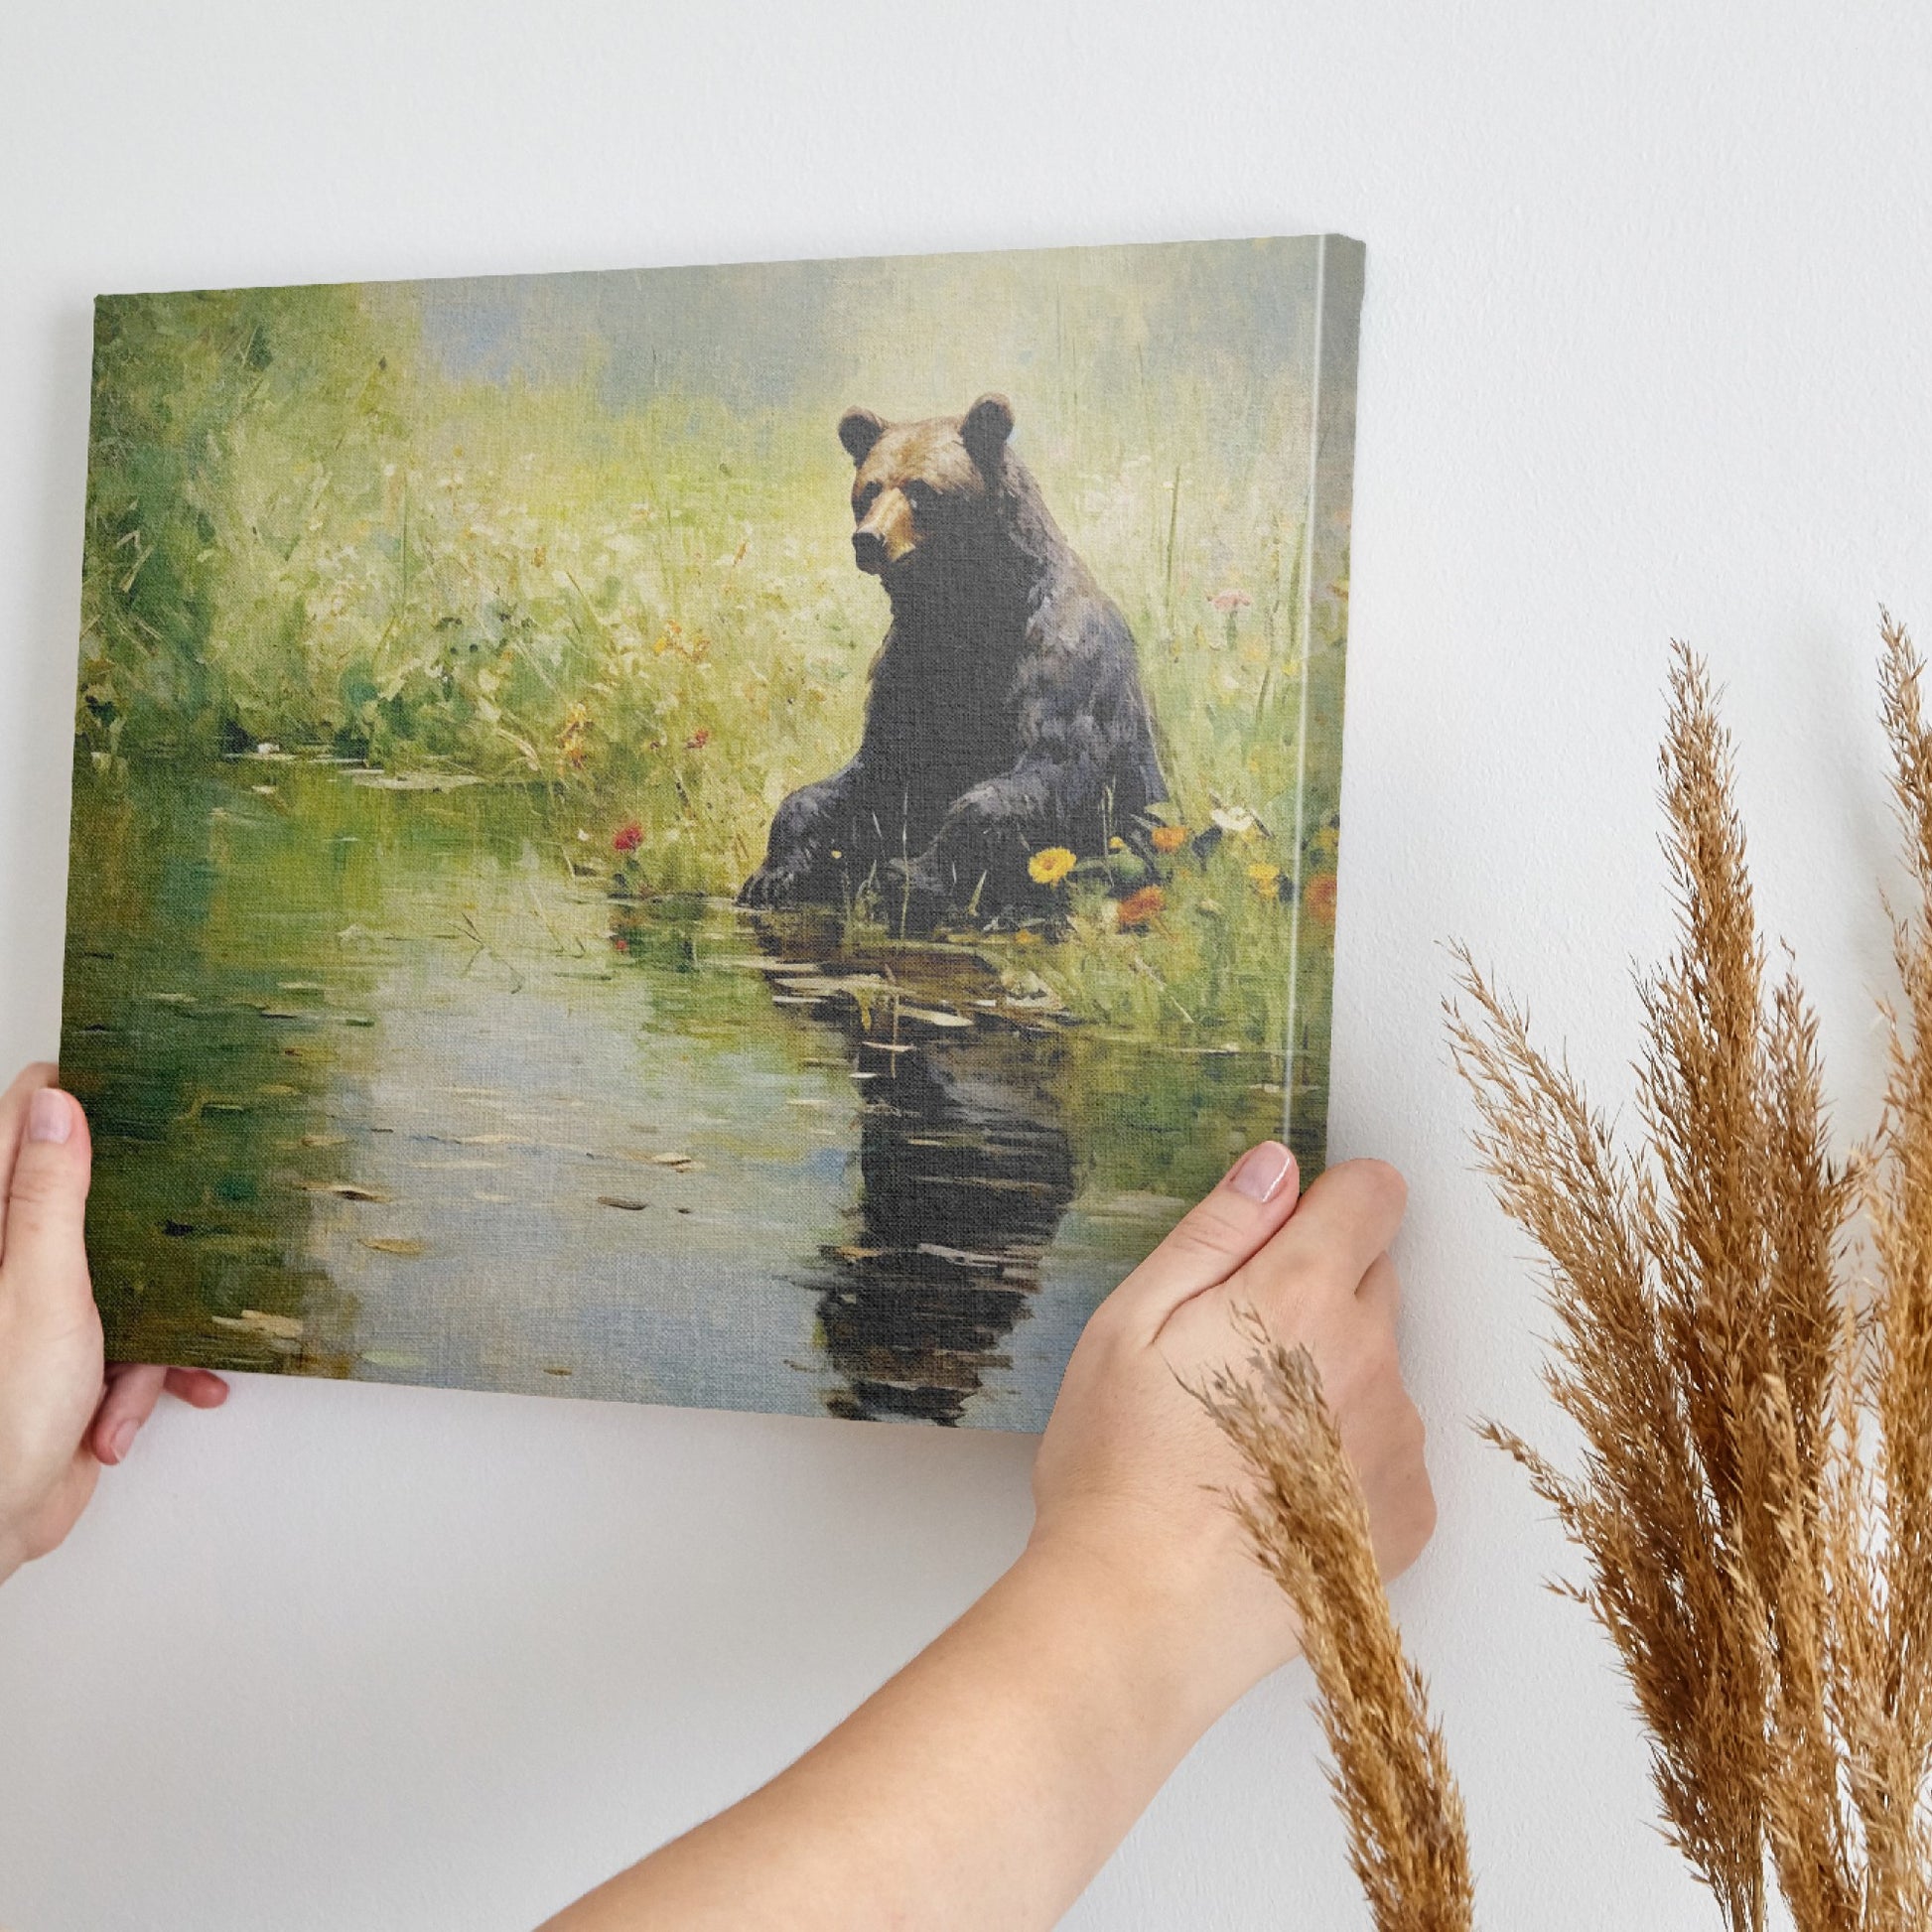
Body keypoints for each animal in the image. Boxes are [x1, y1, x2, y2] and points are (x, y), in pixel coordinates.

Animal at [734, 392, 1159, 919]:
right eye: (869, 489)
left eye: (921, 489)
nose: (868, 539)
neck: (966, 611)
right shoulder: (910, 663)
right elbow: (872, 772)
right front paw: (773, 873)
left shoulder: (1060, 657)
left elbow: (1052, 763)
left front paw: (911, 874)